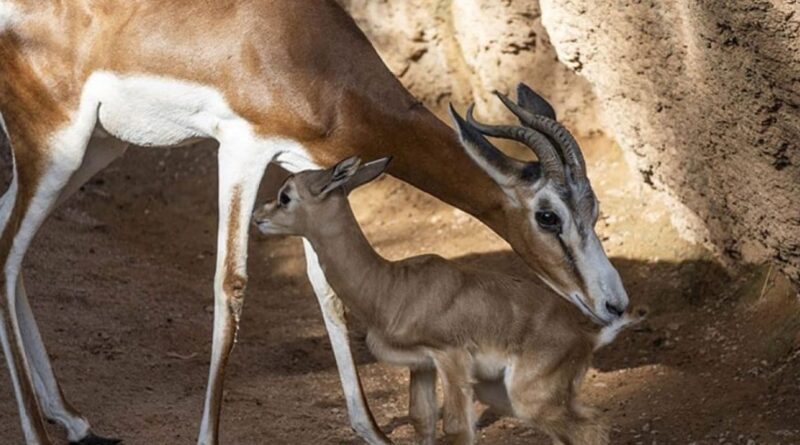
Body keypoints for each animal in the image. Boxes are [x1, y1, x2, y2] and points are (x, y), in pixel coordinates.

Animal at [253, 157, 640, 444]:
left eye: (286, 195)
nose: (257, 216)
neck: (390, 286)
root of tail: (588, 335)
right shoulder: (421, 366)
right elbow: (421, 421)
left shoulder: (450, 358)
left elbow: (455, 429)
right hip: (506, 395)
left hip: (530, 398)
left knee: (592, 430)